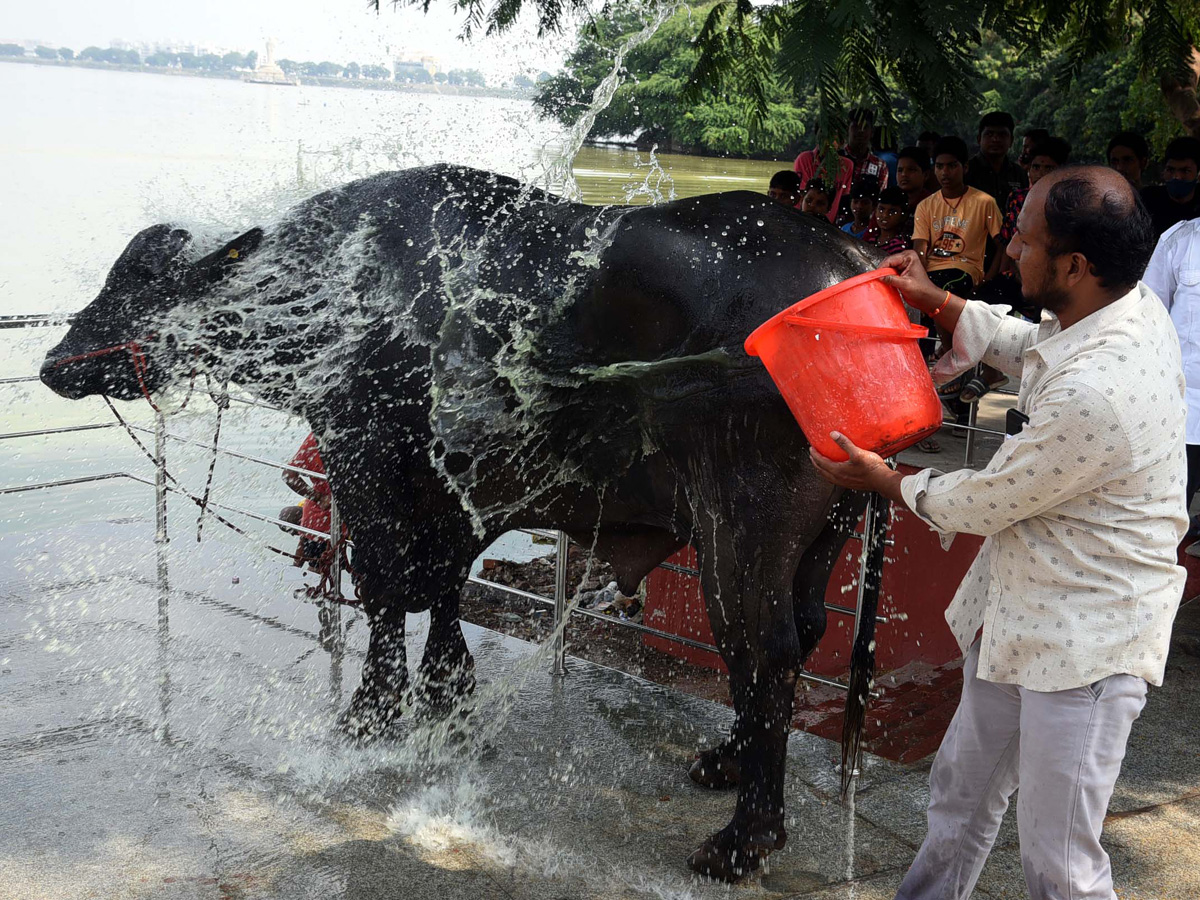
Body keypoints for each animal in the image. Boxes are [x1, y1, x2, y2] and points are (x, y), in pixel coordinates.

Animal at [42, 165, 888, 883]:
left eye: (147, 281)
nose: (56, 362)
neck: (335, 291)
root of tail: (852, 266)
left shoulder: (365, 456)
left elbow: (384, 588)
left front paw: (372, 715)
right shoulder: (455, 493)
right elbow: (441, 586)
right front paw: (449, 695)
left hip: (740, 531)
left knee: (764, 652)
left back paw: (743, 835)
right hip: (828, 530)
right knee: (805, 631)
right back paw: (724, 760)